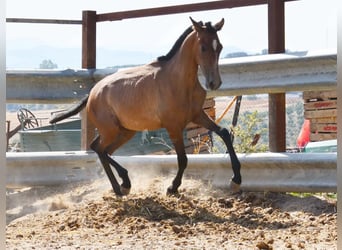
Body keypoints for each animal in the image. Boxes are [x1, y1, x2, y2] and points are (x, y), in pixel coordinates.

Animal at [49, 17, 242, 196]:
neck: (177, 81)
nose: (214, 83)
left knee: (102, 149)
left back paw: (122, 186)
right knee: (99, 149)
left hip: (124, 131)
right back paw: (122, 186)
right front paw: (172, 187)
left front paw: (236, 180)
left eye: (220, 46)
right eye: (203, 47)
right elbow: (182, 159)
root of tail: (92, 93)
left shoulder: (197, 115)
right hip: (110, 130)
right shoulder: (173, 126)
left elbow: (224, 133)